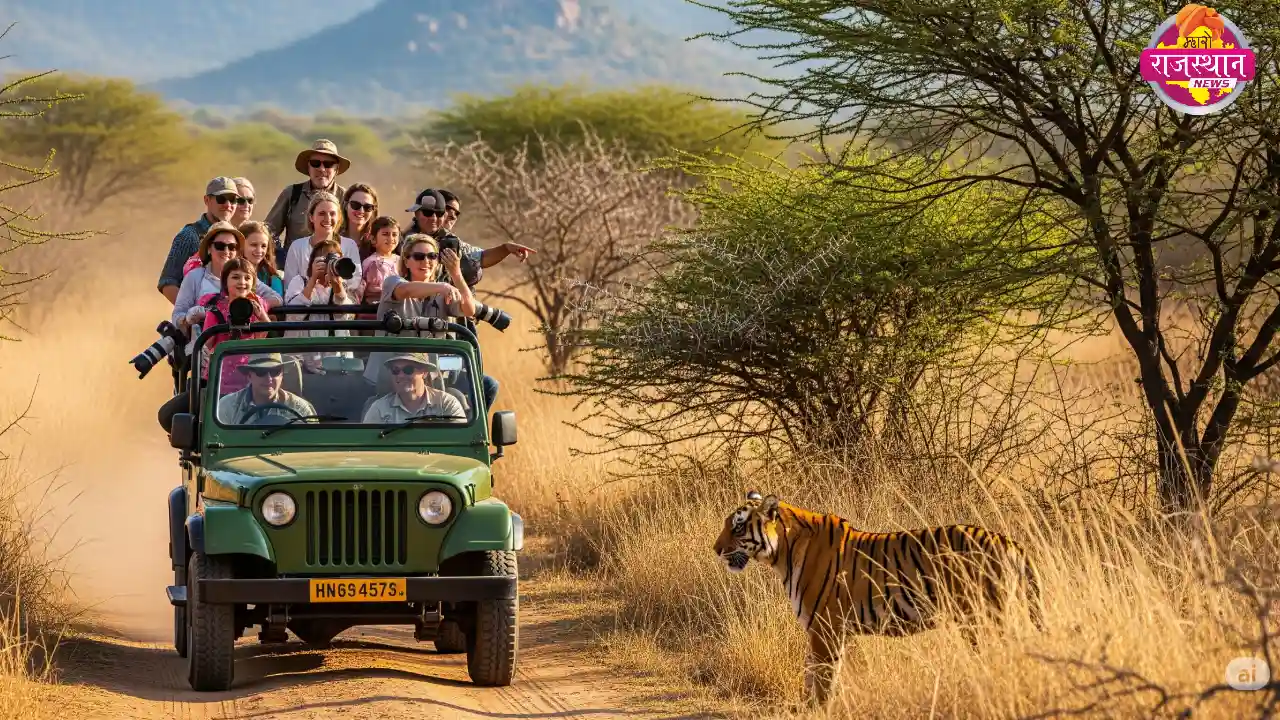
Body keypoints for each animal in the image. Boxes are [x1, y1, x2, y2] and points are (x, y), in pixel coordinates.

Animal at [713, 490, 1044, 704]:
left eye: (738, 527)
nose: (715, 550)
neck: (782, 552)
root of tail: (1012, 543)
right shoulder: (823, 630)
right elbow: (812, 675)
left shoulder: (825, 628)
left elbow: (823, 680)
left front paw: (819, 709)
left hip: (981, 617)